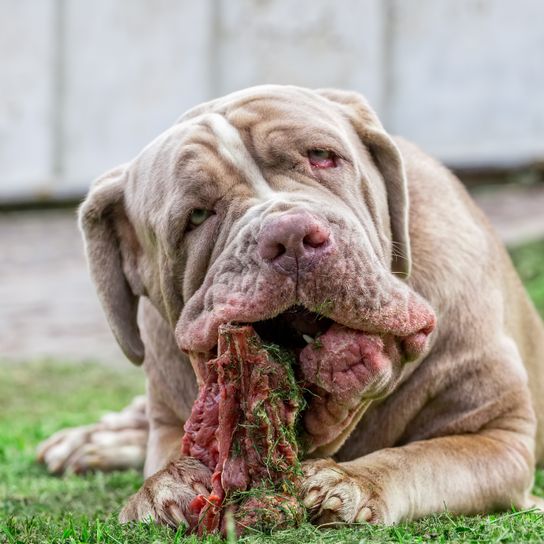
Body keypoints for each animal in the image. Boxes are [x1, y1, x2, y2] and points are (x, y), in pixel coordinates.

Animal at [38, 86, 544, 528]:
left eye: (322, 156)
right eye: (196, 217)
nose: (290, 234)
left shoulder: (498, 437)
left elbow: (418, 458)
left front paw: (350, 483)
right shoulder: (169, 420)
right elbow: (170, 452)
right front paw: (167, 486)